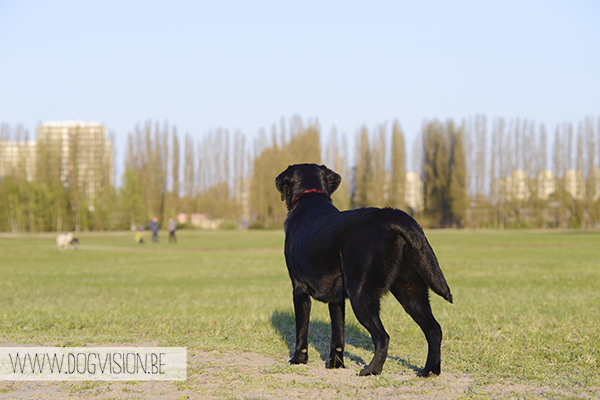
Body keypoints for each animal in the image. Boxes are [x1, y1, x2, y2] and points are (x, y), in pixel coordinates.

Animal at [274, 164, 452, 376]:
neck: (310, 196)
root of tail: (389, 215)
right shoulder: (336, 298)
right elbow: (338, 334)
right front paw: (336, 364)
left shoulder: (299, 289)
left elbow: (301, 331)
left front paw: (298, 360)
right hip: (411, 291)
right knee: (434, 330)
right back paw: (430, 370)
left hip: (361, 295)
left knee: (383, 337)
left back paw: (371, 370)